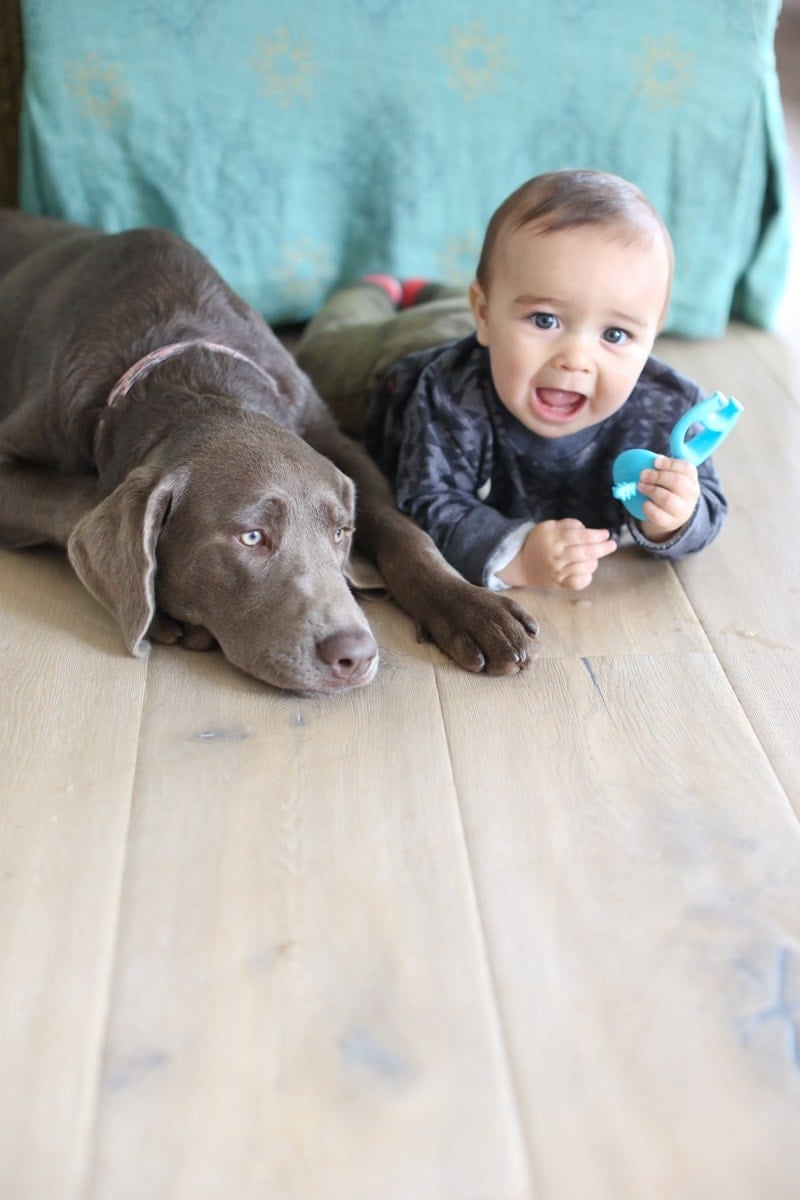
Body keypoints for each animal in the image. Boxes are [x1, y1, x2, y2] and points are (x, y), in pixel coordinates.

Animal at [0, 211, 542, 691]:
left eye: (341, 533)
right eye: (251, 538)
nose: (355, 654)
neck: (190, 368)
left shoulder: (334, 438)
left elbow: (403, 528)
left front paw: (470, 607)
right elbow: (81, 498)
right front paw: (162, 610)